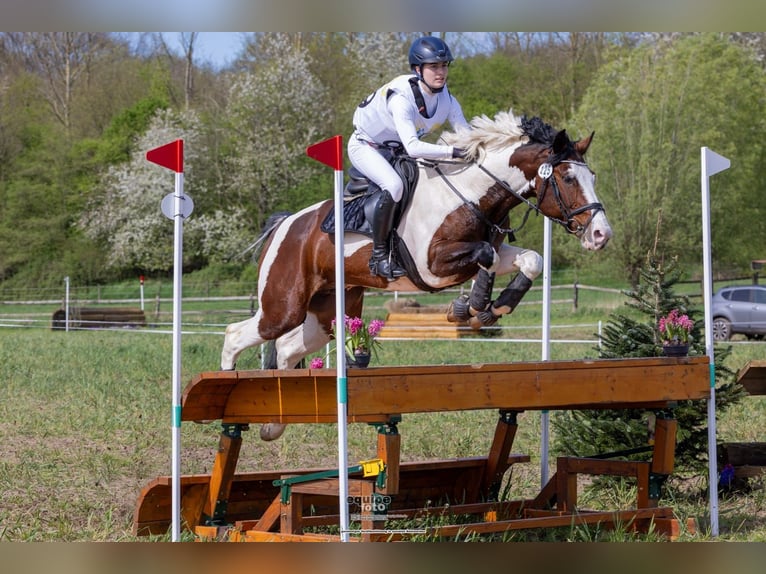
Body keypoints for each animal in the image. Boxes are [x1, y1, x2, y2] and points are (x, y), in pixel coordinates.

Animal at [220, 109, 612, 440]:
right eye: (568, 177)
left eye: (592, 176)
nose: (601, 235)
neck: (470, 193)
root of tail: (285, 224)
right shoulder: (433, 267)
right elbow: (483, 256)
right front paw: (472, 305)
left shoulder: (497, 252)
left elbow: (531, 260)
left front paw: (492, 306)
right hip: (283, 306)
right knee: (235, 335)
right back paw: (227, 394)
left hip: (326, 314)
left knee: (287, 349)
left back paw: (273, 424)